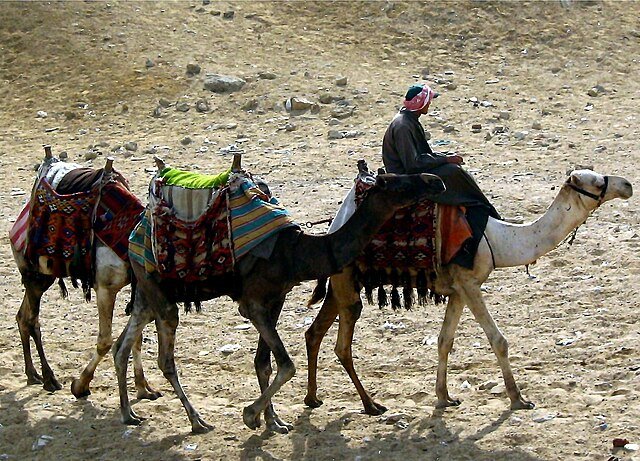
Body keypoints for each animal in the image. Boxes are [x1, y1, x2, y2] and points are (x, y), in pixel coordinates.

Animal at [11, 147, 160, 401]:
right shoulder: (105, 288)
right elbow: (105, 340)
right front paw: (80, 385)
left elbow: (137, 338)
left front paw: (144, 388)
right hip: (31, 272)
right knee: (32, 320)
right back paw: (49, 378)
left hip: (44, 275)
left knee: (23, 316)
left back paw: (33, 374)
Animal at [112, 161, 446, 434]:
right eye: (399, 183)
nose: (436, 181)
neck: (295, 253)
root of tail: (135, 233)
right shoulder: (252, 304)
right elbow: (286, 365)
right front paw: (251, 415)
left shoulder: (276, 299)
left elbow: (264, 363)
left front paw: (273, 421)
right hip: (159, 293)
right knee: (165, 359)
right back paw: (197, 421)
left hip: (147, 293)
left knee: (122, 346)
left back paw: (129, 414)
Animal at [304, 169, 632, 415]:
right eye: (598, 182)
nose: (628, 185)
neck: (498, 239)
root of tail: (333, 224)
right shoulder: (470, 284)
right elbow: (498, 340)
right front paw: (518, 399)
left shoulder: (458, 291)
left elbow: (444, 341)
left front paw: (444, 397)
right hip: (347, 283)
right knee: (342, 345)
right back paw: (371, 405)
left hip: (341, 284)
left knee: (314, 332)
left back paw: (313, 398)